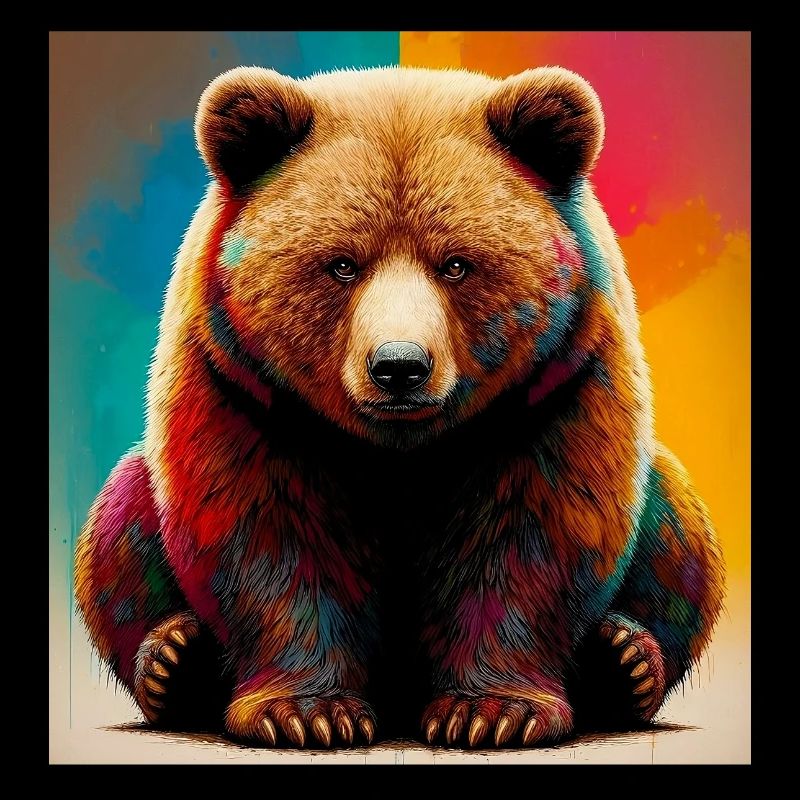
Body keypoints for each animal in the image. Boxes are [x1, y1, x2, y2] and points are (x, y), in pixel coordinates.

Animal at [74, 65, 725, 749]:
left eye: (457, 264)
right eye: (341, 264)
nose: (399, 366)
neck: (401, 448)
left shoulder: (554, 386)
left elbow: (530, 533)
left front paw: (490, 710)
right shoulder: (245, 389)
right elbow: (268, 533)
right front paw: (308, 710)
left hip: (665, 511)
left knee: (680, 532)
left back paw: (625, 660)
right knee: (118, 522)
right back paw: (173, 660)